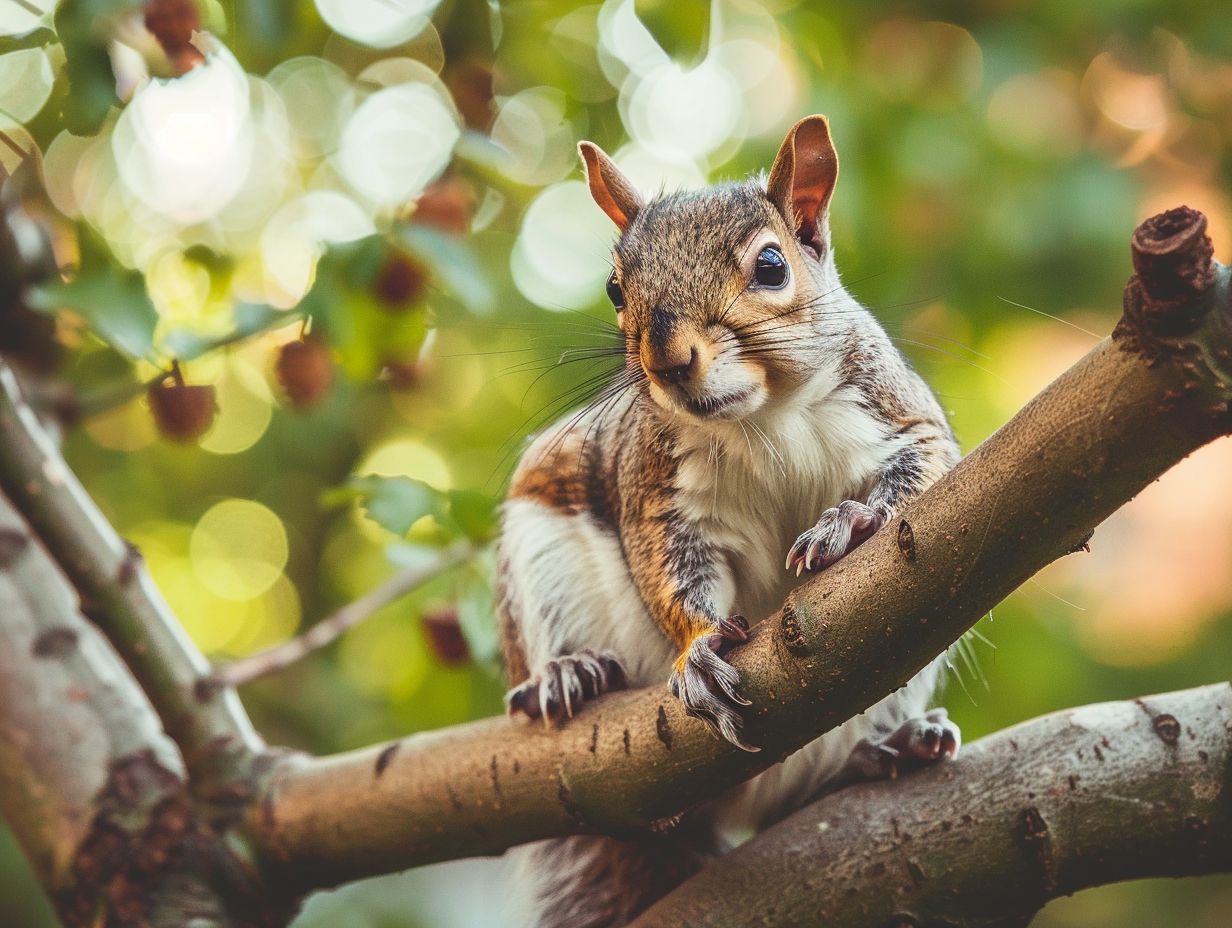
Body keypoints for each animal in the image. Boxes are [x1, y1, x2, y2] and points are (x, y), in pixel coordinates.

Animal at [495, 115, 956, 926]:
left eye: (771, 266)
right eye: (615, 288)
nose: (667, 359)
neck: (762, 415)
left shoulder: (902, 418)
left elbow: (924, 471)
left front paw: (849, 523)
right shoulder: (656, 493)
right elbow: (669, 573)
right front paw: (702, 652)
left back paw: (883, 752)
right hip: (542, 550)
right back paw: (565, 675)